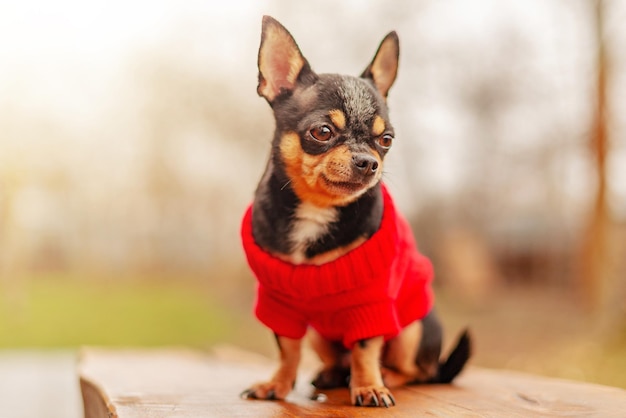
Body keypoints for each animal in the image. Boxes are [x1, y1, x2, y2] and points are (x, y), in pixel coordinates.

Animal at [239, 17, 468, 408]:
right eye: (322, 131)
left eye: (386, 140)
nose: (368, 162)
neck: (318, 208)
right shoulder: (279, 304)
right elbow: (288, 350)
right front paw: (278, 384)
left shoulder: (371, 301)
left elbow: (364, 348)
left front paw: (368, 387)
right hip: (321, 333)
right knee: (337, 358)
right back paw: (331, 375)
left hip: (411, 329)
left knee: (416, 371)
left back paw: (386, 376)